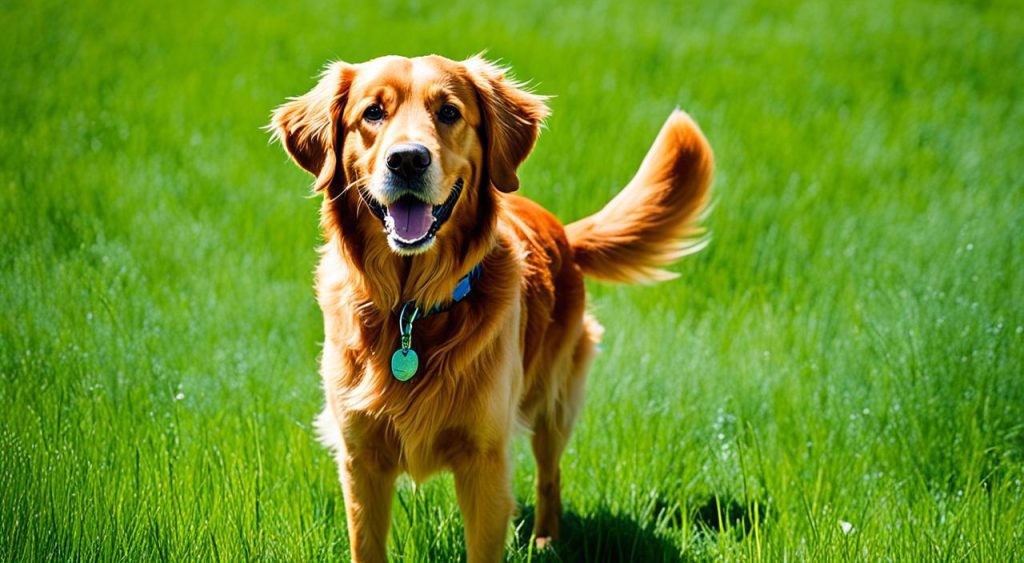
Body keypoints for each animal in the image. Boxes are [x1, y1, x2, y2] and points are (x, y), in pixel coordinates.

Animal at [270, 53, 712, 563]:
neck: (411, 308)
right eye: (372, 113)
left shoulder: (486, 460)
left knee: (549, 474)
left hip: (553, 401)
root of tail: (564, 231)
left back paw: (546, 540)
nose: (408, 159)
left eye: (448, 112)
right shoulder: (360, 461)